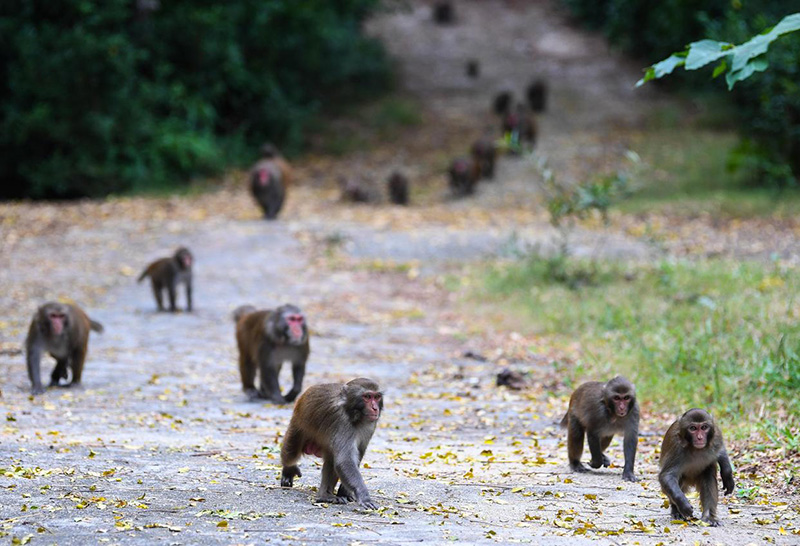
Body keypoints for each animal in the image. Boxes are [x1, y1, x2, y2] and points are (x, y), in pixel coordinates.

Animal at [280, 376, 382, 508]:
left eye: (377, 397)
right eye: (367, 397)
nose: (375, 408)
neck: (353, 413)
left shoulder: (370, 425)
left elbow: (357, 455)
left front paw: (345, 492)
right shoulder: (341, 421)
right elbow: (344, 460)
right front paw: (364, 495)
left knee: (331, 458)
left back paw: (325, 495)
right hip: (298, 423)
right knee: (291, 451)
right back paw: (290, 470)